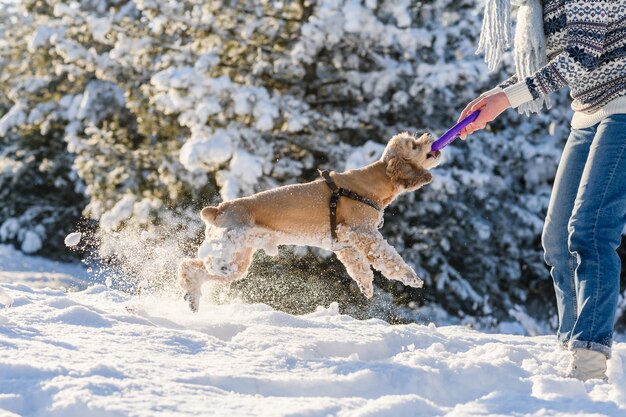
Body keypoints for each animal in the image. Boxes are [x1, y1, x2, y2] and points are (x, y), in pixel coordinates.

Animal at [178, 132, 442, 310]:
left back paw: (192, 298)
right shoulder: (364, 233)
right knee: (199, 264)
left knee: (193, 267)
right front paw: (411, 278)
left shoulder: (346, 244)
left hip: (239, 261)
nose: (430, 135)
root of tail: (217, 209)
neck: (373, 183)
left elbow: (359, 268)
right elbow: (388, 258)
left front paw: (366, 288)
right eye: (414, 145)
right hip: (231, 245)